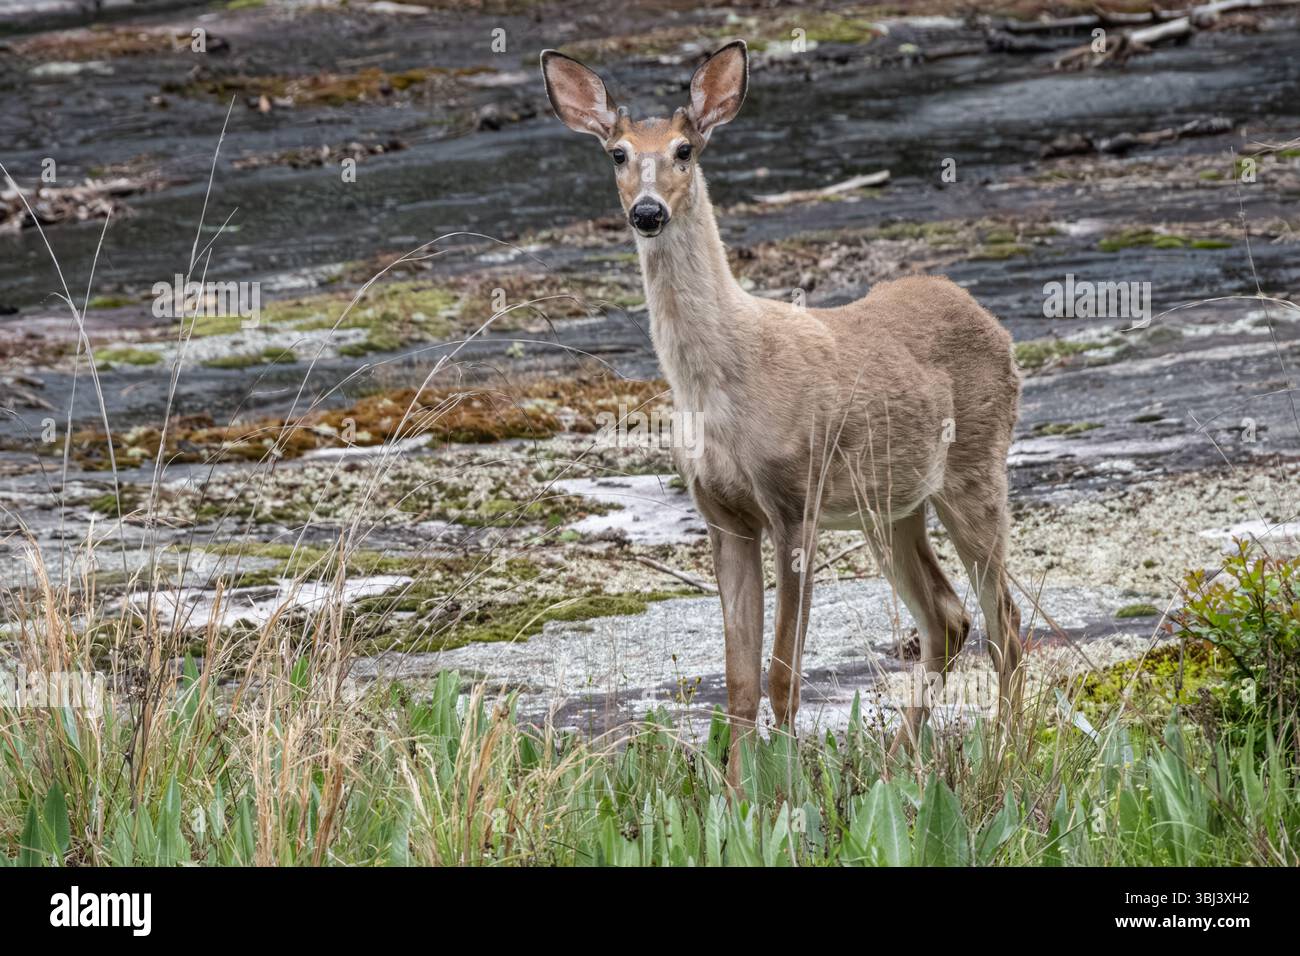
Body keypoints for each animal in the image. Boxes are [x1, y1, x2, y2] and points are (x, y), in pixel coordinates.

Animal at [540, 40, 1023, 778]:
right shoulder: (722, 515)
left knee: (1007, 623)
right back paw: (897, 765)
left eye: (684, 149)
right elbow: (739, 680)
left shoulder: (797, 500)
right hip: (894, 506)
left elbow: (781, 677)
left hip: (975, 469)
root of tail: (995, 325)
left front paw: (788, 790)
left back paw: (1012, 752)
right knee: (949, 618)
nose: (647, 211)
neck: (720, 384)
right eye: (617, 153)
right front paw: (738, 794)